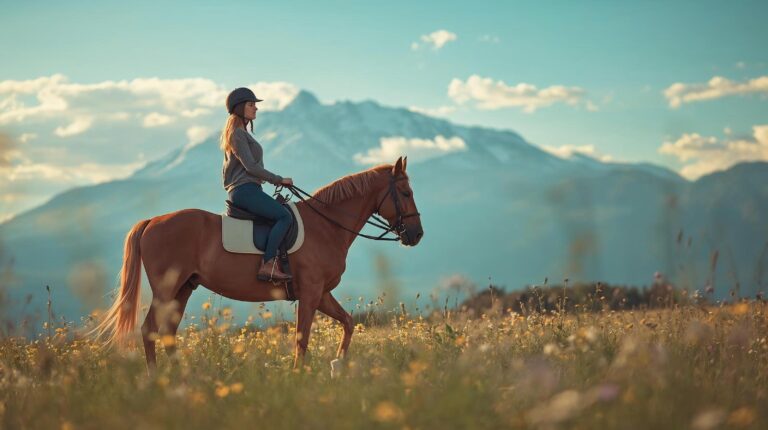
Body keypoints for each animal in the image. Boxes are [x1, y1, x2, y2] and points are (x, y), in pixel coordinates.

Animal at [94, 156, 423, 370]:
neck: (326, 225)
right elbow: (302, 339)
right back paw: (157, 380)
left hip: (183, 288)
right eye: (406, 192)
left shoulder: (320, 293)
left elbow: (348, 322)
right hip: (166, 288)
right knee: (150, 330)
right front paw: (299, 377)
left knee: (167, 332)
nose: (417, 234)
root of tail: (152, 221)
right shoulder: (311, 293)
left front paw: (337, 365)